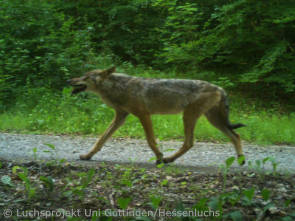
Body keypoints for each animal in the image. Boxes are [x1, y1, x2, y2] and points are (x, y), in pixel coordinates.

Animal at [68, 66, 246, 165]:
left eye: (85, 76)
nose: (69, 80)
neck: (119, 88)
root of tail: (220, 88)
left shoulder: (143, 114)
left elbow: (150, 140)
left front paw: (160, 157)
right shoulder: (120, 116)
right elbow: (101, 139)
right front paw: (87, 155)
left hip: (190, 117)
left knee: (189, 142)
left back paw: (168, 159)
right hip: (212, 120)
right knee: (235, 136)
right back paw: (241, 160)